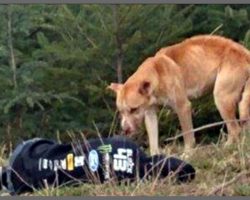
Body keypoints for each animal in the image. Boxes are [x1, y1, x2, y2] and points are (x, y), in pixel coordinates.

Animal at [108, 35, 250, 155]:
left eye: (133, 109)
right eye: (120, 111)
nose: (125, 130)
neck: (157, 74)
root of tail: (245, 53)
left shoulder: (183, 107)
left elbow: (188, 136)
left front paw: (187, 153)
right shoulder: (150, 113)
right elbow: (153, 141)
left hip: (221, 98)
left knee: (235, 129)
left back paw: (226, 148)